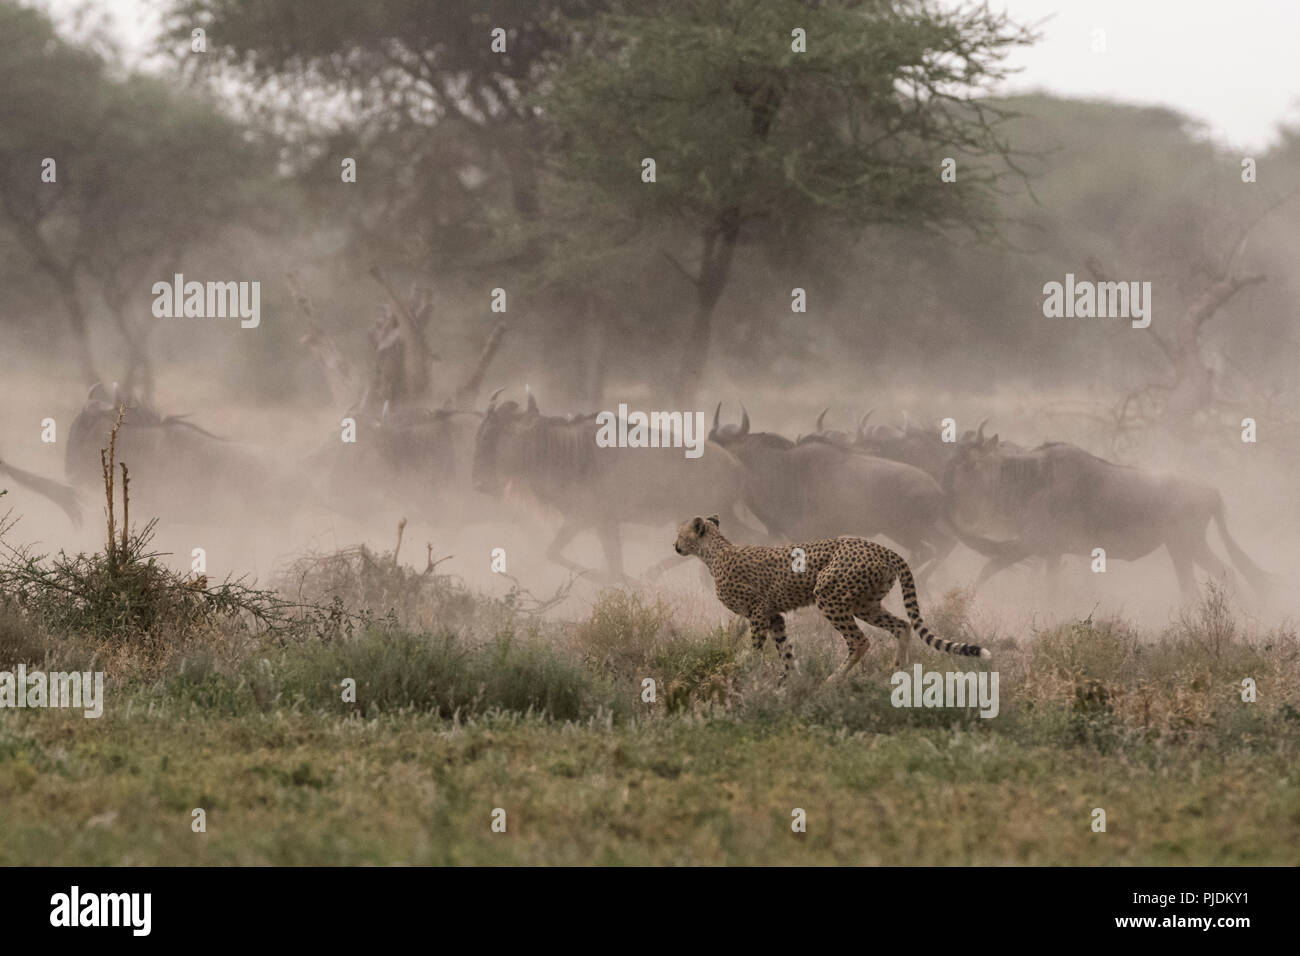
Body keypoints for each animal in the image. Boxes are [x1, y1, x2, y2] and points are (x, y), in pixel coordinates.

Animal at [676, 515, 987, 681]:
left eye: (680, 533)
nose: (675, 545)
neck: (715, 551)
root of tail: (883, 548)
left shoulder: (759, 611)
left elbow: (755, 648)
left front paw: (745, 671)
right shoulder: (774, 615)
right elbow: (785, 651)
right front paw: (787, 683)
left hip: (829, 595)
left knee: (860, 641)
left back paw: (833, 679)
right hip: (865, 603)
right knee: (903, 626)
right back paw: (894, 673)